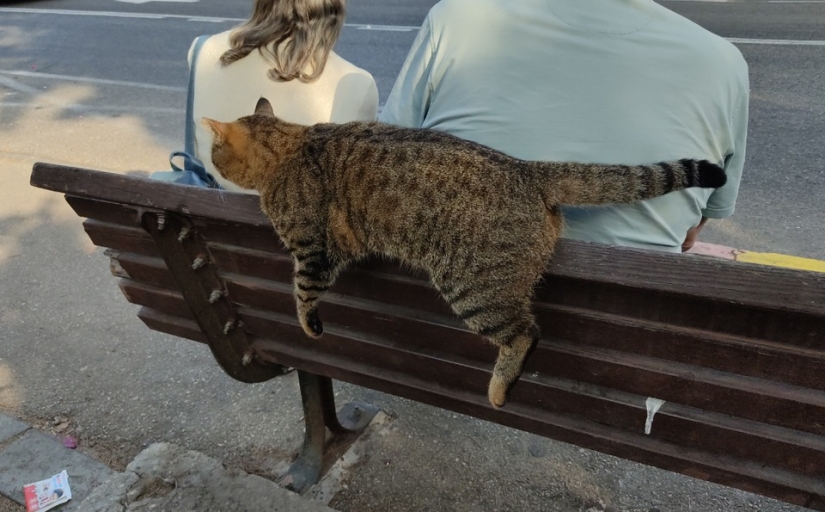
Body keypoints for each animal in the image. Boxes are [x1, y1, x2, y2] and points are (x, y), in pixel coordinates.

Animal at [203, 96, 724, 408]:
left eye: (212, 152)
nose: (207, 163)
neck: (291, 144)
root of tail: (526, 168)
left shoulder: (312, 251)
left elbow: (302, 294)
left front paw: (307, 325)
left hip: (472, 290)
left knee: (525, 334)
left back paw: (498, 387)